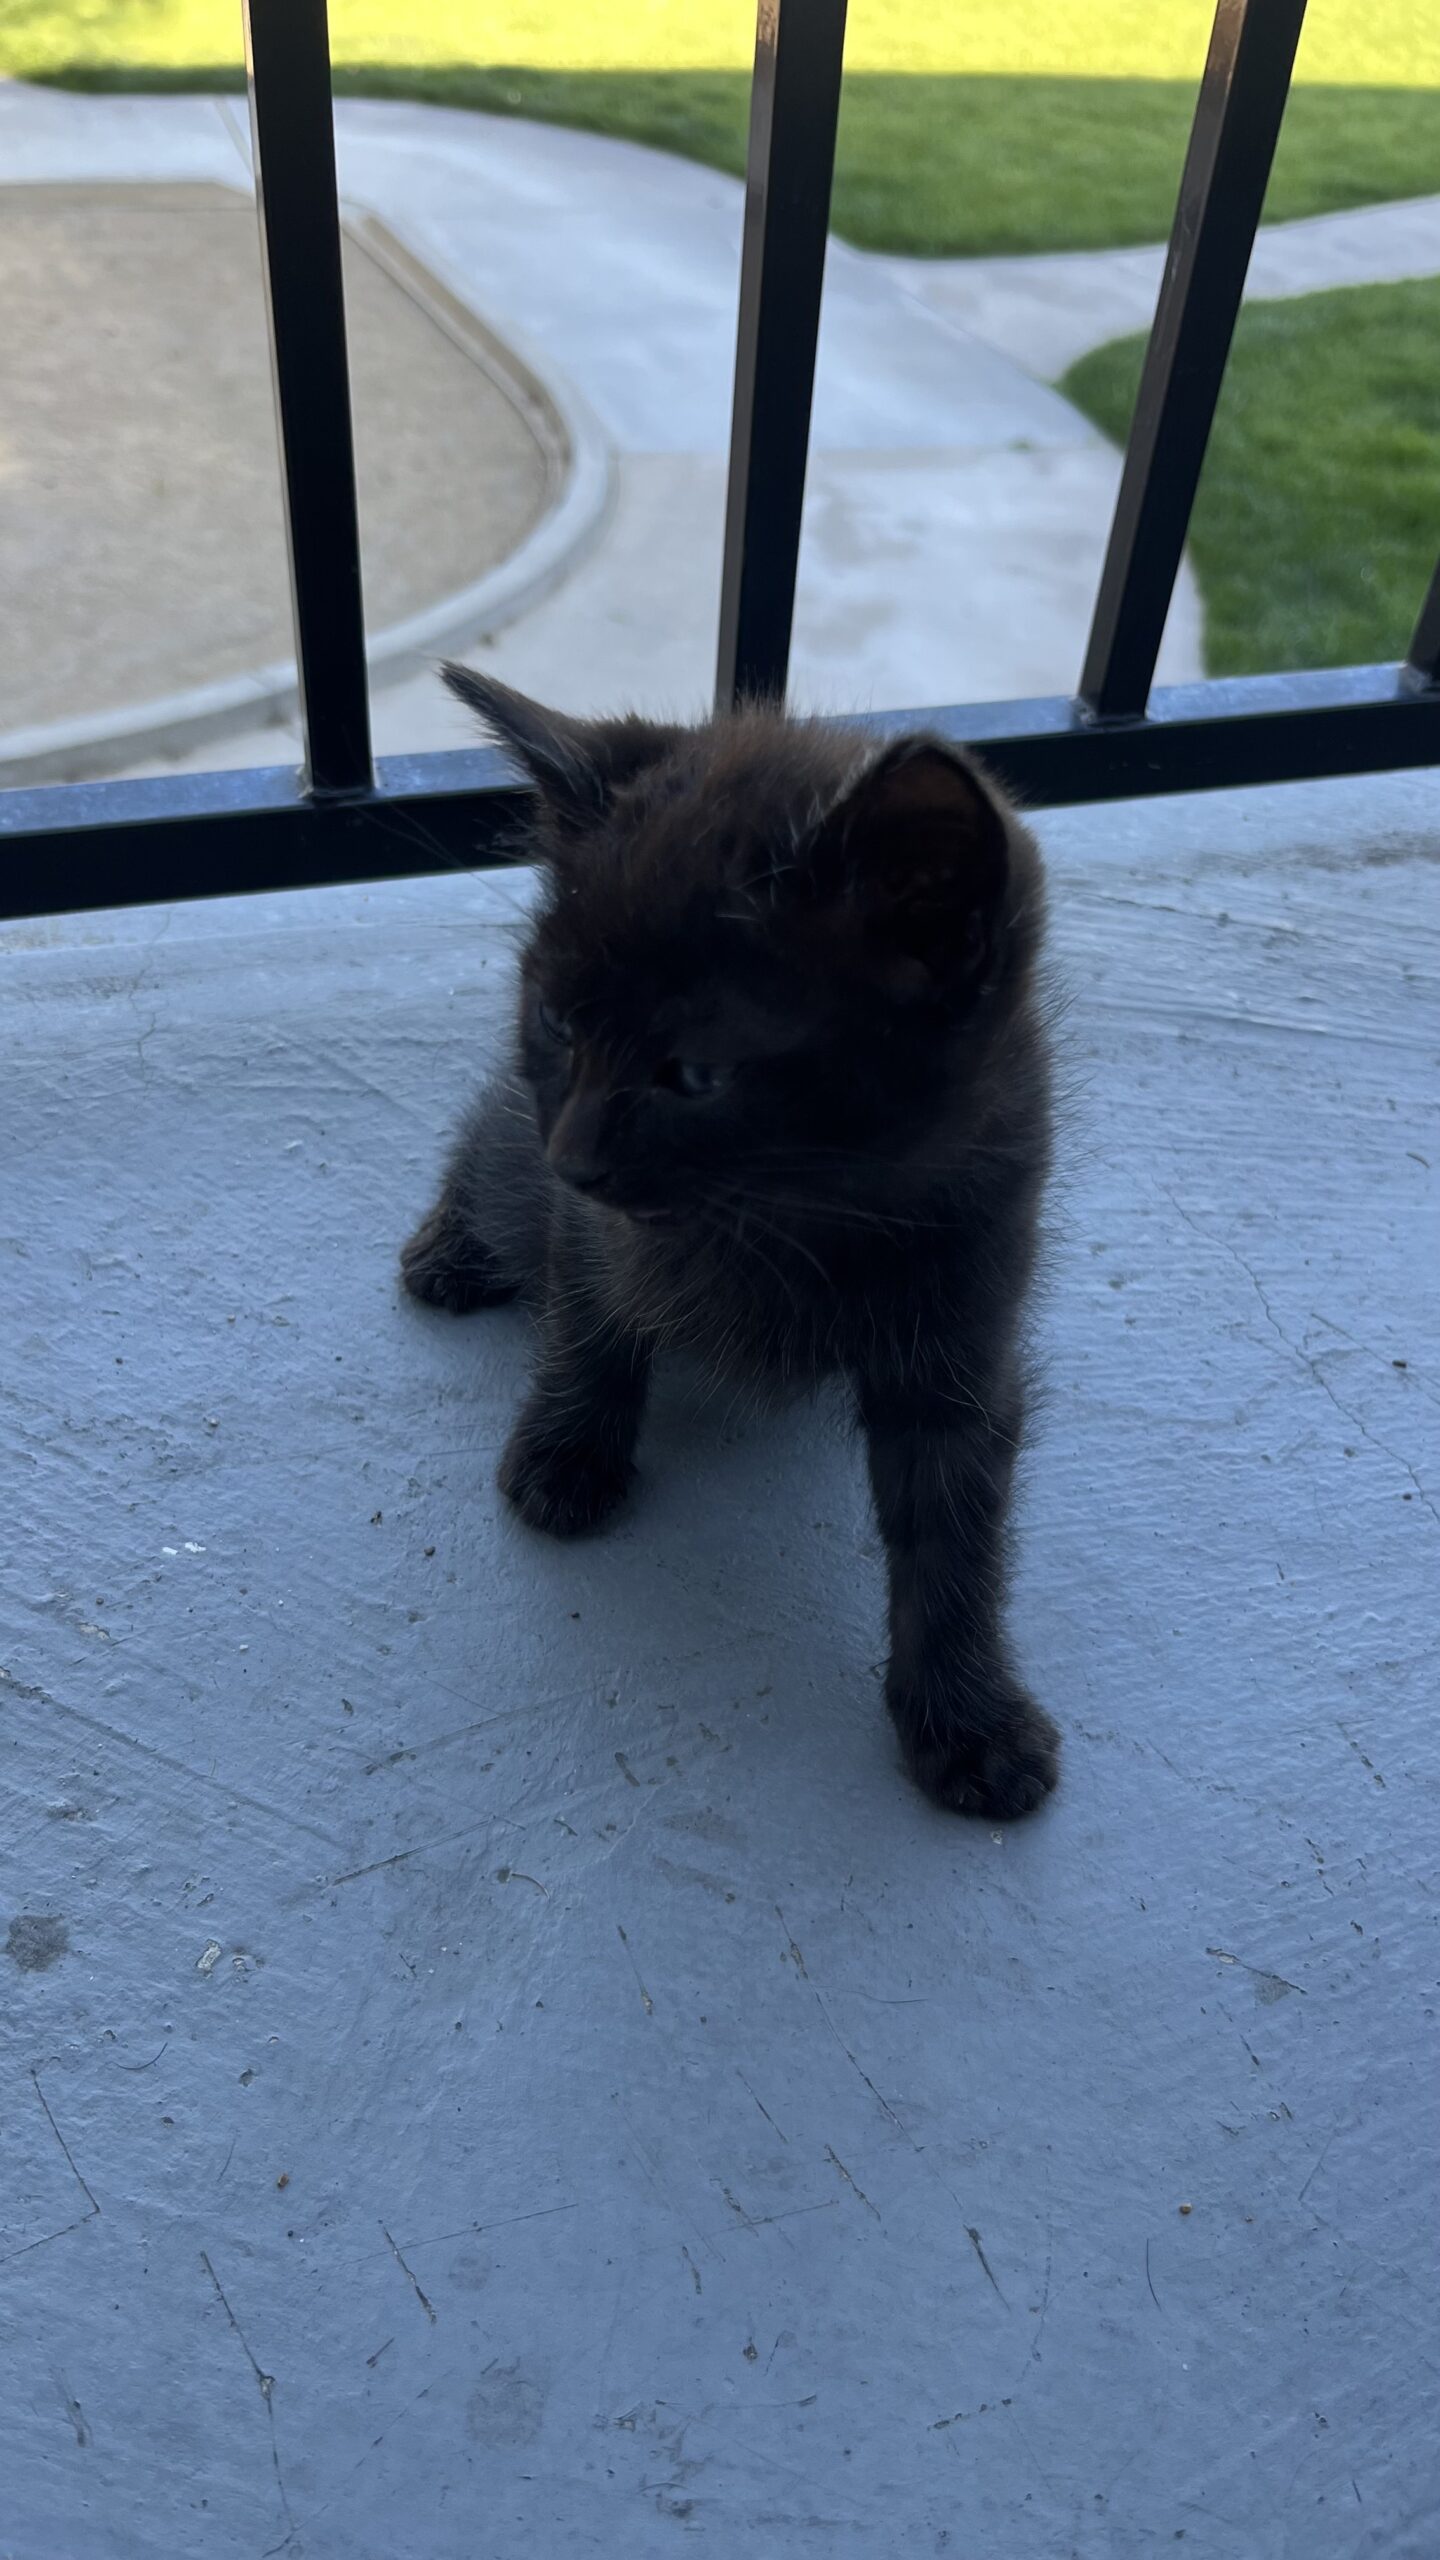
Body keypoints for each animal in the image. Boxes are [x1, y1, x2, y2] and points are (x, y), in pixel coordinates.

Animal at [401, 668, 1059, 1820]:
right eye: (558, 1024)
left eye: (694, 1074)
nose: (575, 1157)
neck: (802, 1213)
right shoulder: (597, 1232)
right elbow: (591, 1323)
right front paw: (566, 1454)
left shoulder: (969, 1313)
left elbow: (954, 1532)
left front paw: (968, 1720)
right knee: (492, 1162)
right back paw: (448, 1251)